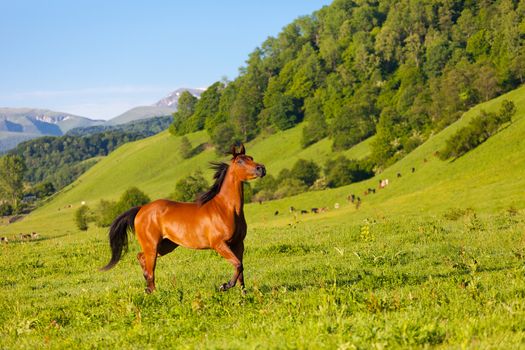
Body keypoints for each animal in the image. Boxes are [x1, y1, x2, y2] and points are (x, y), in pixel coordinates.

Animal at [101, 144, 266, 294]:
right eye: (240, 161)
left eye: (251, 158)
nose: (261, 169)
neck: (226, 209)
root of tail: (141, 209)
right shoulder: (219, 244)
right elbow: (238, 265)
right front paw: (224, 286)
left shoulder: (238, 244)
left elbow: (241, 269)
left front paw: (244, 295)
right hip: (152, 246)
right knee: (149, 267)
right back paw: (154, 292)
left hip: (165, 246)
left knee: (141, 258)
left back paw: (148, 289)